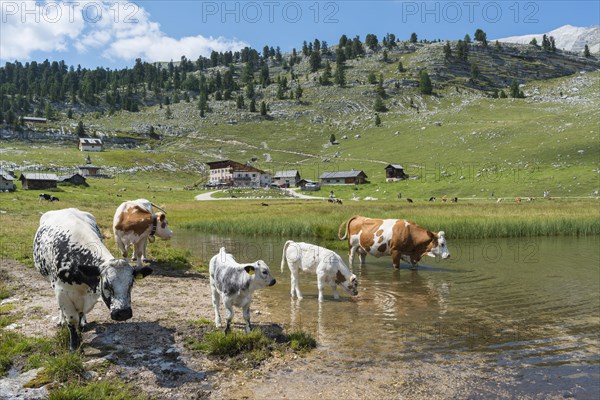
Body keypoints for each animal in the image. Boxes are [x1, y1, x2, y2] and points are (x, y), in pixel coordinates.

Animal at [32, 208, 152, 352]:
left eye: (131, 283)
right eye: (106, 285)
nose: (123, 313)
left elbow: (81, 314)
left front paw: (81, 326)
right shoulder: (62, 292)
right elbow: (71, 320)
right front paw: (74, 346)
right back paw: (61, 320)